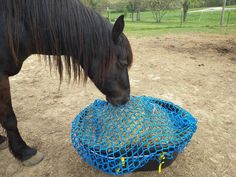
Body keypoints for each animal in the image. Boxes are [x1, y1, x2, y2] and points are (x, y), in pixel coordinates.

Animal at [0, 0, 133, 166]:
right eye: (123, 62)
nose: (125, 99)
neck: (18, 25)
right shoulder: (1, 76)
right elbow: (9, 118)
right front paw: (24, 152)